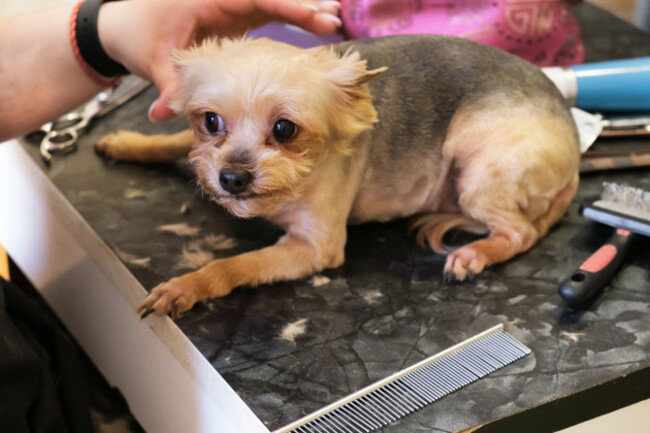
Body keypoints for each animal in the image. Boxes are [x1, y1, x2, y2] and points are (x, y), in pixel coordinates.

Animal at [96, 34, 576, 318]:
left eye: (285, 129)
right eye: (210, 121)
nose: (232, 177)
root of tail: (570, 137)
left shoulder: (315, 248)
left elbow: (234, 264)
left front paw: (187, 286)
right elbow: (175, 142)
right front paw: (128, 143)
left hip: (476, 170)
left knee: (519, 233)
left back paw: (474, 254)